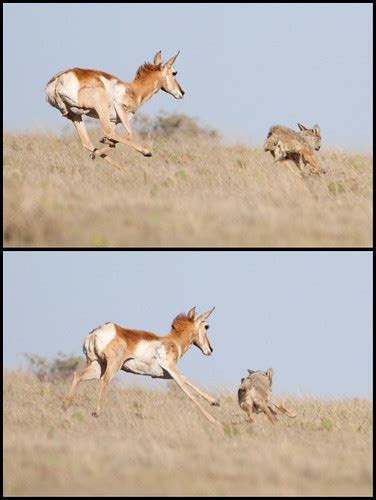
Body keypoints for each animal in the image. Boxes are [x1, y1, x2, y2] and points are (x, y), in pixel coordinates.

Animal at [44, 50, 184, 171]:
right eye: (174, 72)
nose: (182, 93)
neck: (133, 90)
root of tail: (58, 80)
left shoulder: (114, 121)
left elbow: (113, 142)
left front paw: (102, 144)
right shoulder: (121, 110)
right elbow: (129, 134)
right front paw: (147, 152)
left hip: (75, 116)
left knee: (87, 142)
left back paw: (121, 166)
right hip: (99, 107)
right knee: (106, 132)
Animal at [62, 306, 220, 424]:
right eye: (207, 326)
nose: (210, 350)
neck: (172, 341)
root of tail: (96, 332)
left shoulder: (163, 374)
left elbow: (187, 379)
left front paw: (215, 402)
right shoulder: (171, 370)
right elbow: (189, 393)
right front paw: (213, 420)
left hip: (96, 367)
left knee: (78, 375)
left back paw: (65, 405)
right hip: (112, 366)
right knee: (104, 381)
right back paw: (96, 412)